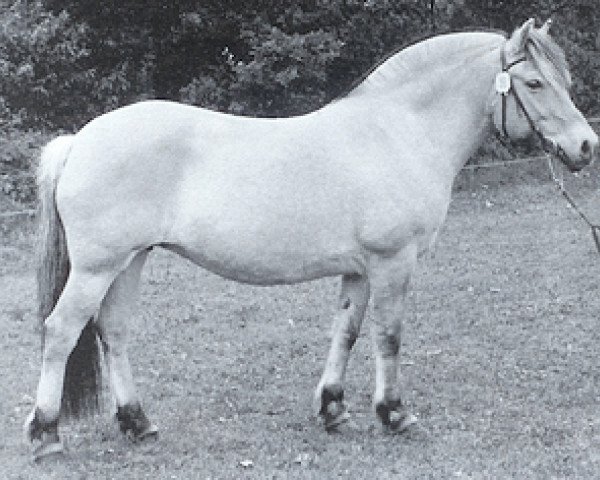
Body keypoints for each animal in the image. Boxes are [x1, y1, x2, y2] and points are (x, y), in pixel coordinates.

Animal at [22, 19, 596, 462]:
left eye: (565, 78)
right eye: (535, 83)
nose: (586, 146)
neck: (396, 133)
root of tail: (80, 140)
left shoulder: (359, 269)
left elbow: (346, 332)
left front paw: (334, 410)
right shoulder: (393, 262)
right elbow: (388, 336)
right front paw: (395, 414)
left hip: (130, 262)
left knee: (113, 332)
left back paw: (138, 423)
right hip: (98, 267)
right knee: (61, 332)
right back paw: (47, 434)